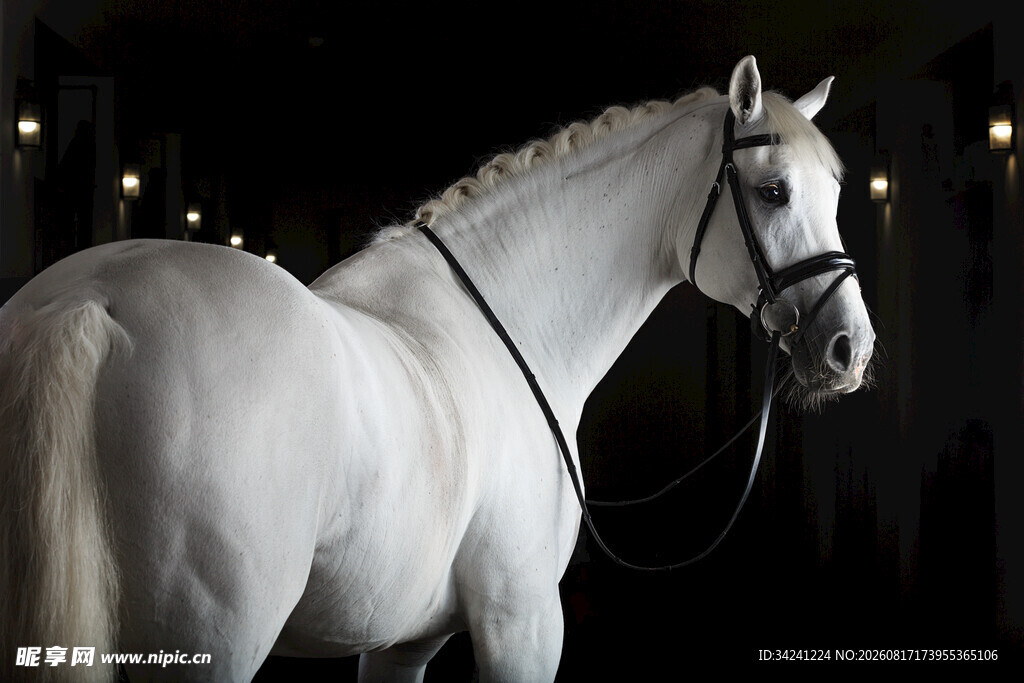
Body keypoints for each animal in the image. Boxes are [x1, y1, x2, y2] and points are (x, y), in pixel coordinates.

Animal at [0, 56, 874, 681]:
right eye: (772, 190)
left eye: (835, 193)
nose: (851, 348)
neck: (508, 324)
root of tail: (85, 305)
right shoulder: (524, 622)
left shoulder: (400, 643)